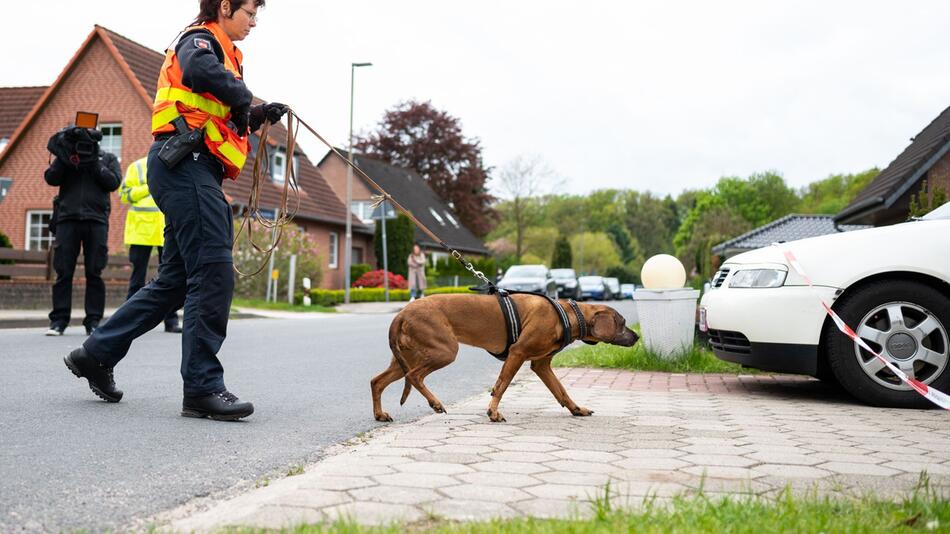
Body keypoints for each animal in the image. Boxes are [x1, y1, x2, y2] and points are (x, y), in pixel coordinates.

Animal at [372, 294, 640, 422]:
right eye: (623, 323)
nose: (637, 336)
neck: (567, 314)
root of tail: (401, 313)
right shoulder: (517, 353)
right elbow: (501, 385)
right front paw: (493, 412)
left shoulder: (541, 365)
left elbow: (561, 391)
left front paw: (577, 409)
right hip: (444, 351)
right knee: (414, 376)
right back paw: (435, 403)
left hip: (408, 357)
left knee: (377, 381)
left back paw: (380, 414)